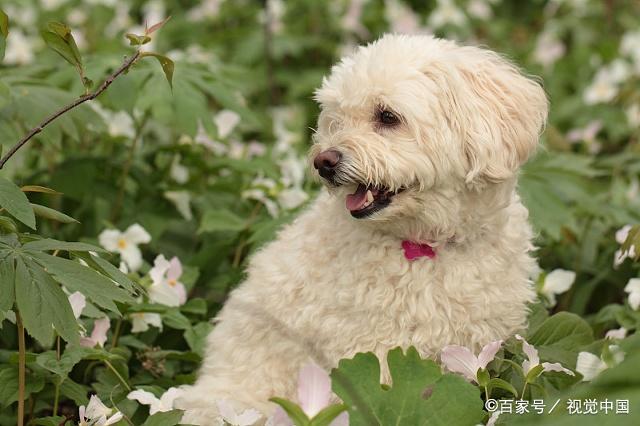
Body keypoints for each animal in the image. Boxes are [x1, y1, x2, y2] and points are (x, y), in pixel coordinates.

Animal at [179, 33, 544, 422]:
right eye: (335, 120)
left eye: (387, 116)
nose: (323, 161)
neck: (428, 246)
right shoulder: (372, 356)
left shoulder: (487, 349)